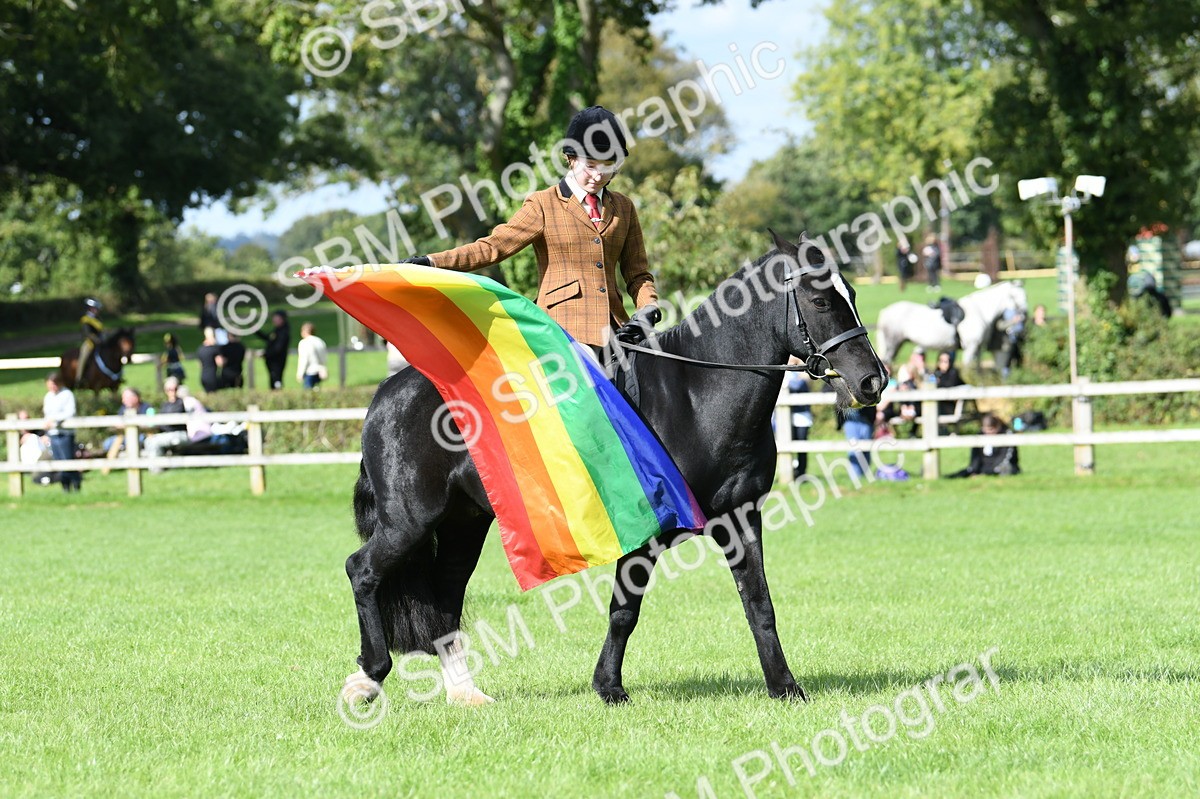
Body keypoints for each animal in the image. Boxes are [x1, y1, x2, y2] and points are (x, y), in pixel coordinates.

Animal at [341, 232, 888, 708]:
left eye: (853, 294)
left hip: (464, 524)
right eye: (821, 301)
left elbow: (759, 604)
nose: (872, 380)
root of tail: (389, 392)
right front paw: (609, 688)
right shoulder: (644, 530)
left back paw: (465, 694)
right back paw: (367, 680)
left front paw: (785, 688)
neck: (696, 397)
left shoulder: (741, 518)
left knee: (445, 598)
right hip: (411, 520)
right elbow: (624, 610)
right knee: (362, 570)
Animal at [875, 281, 1027, 367]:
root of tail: (885, 311)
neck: (979, 311)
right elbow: (967, 367)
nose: (1024, 314)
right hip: (892, 344)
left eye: (1024, 295)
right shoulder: (970, 347)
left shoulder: (978, 348)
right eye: (1013, 296)